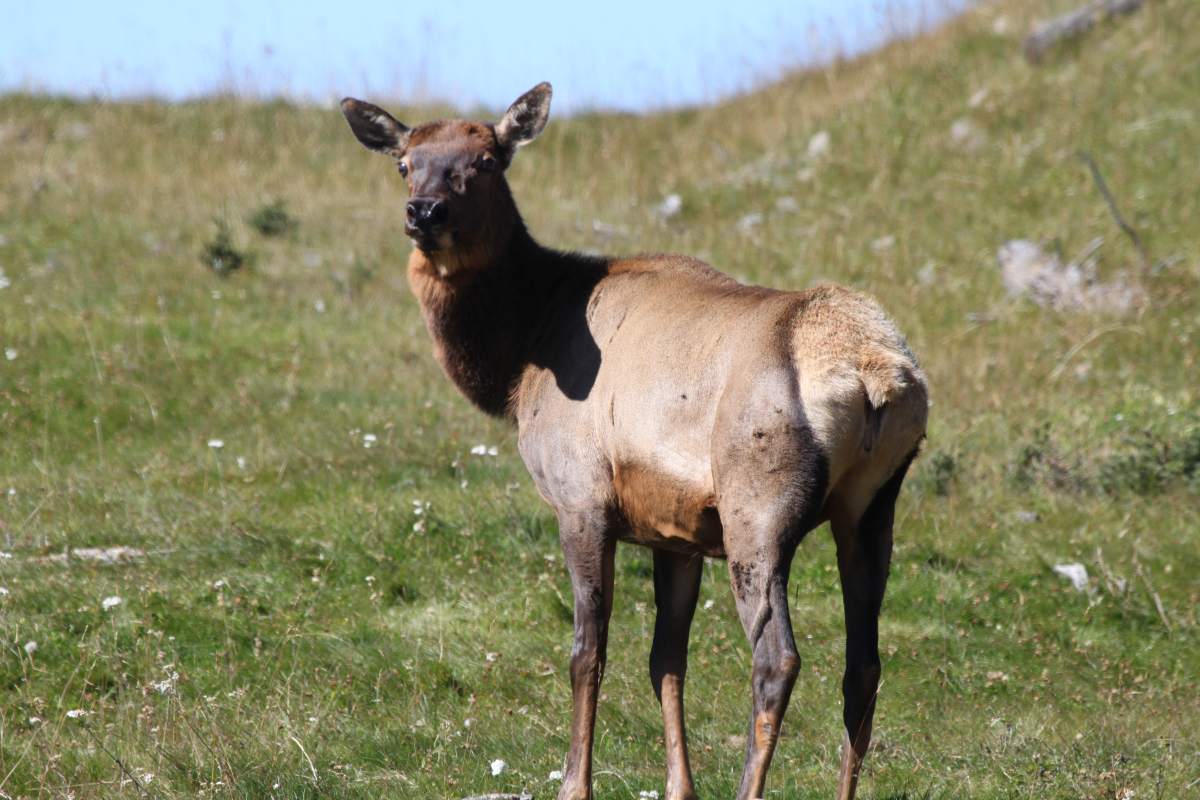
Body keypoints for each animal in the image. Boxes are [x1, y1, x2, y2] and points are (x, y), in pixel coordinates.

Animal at [343, 82, 931, 800]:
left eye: (486, 161)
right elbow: (665, 661)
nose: (424, 211)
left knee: (778, 659)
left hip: (758, 506)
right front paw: (680, 785)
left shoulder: (580, 496)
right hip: (873, 506)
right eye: (405, 162)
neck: (519, 355)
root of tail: (876, 376)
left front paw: (575, 782)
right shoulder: (676, 527)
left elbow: (586, 652)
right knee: (864, 665)